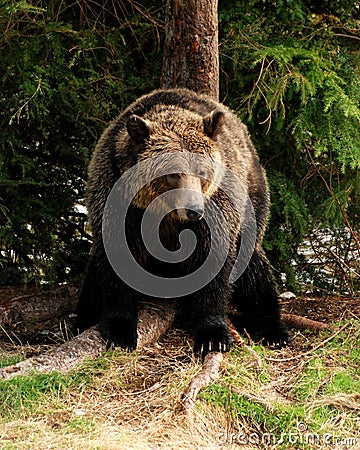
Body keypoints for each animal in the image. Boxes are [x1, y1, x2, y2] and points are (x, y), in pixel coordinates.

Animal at [76, 87, 290, 356]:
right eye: (173, 174)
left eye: (202, 171)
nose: (194, 209)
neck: (165, 213)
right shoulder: (120, 203)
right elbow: (117, 263)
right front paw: (119, 331)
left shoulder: (217, 210)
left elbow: (214, 262)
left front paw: (213, 336)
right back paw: (82, 318)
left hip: (252, 195)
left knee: (253, 266)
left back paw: (273, 330)